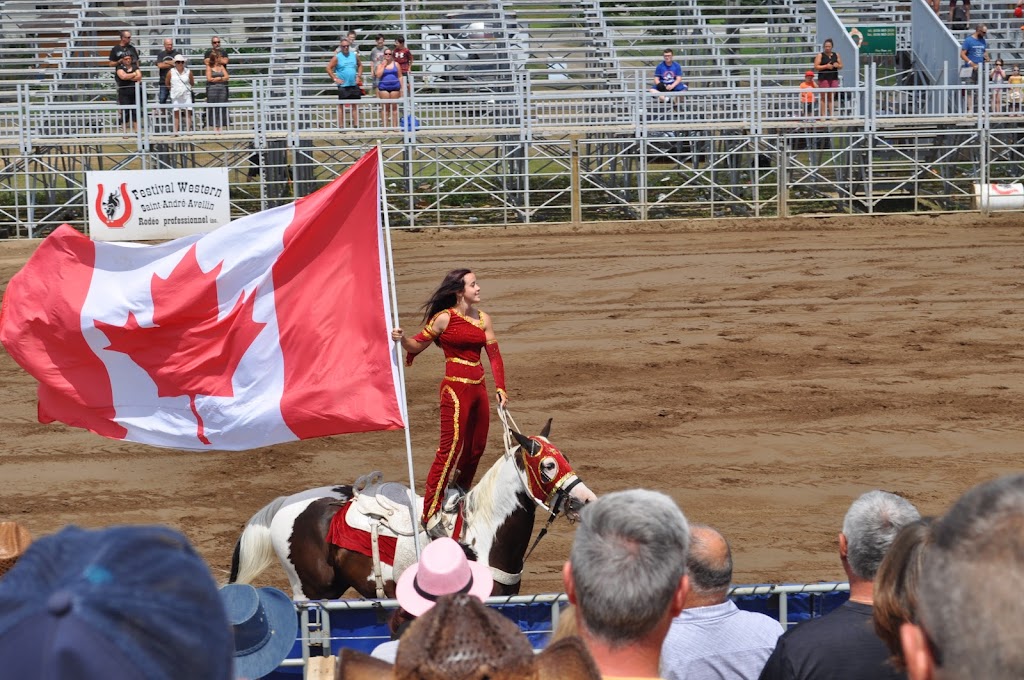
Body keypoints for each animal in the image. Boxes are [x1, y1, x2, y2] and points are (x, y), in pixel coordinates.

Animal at [228, 417, 598, 598]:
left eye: (566, 456)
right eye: (548, 465)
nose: (587, 499)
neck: (480, 537)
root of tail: (284, 504)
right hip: (311, 593)